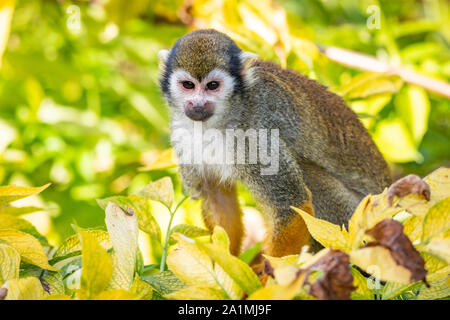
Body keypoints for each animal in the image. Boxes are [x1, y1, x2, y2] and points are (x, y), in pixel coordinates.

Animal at [157, 29, 390, 258]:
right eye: (188, 85)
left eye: (212, 86)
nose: (197, 104)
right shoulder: (181, 133)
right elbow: (217, 197)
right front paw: (223, 260)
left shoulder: (258, 133)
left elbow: (291, 206)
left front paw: (271, 271)